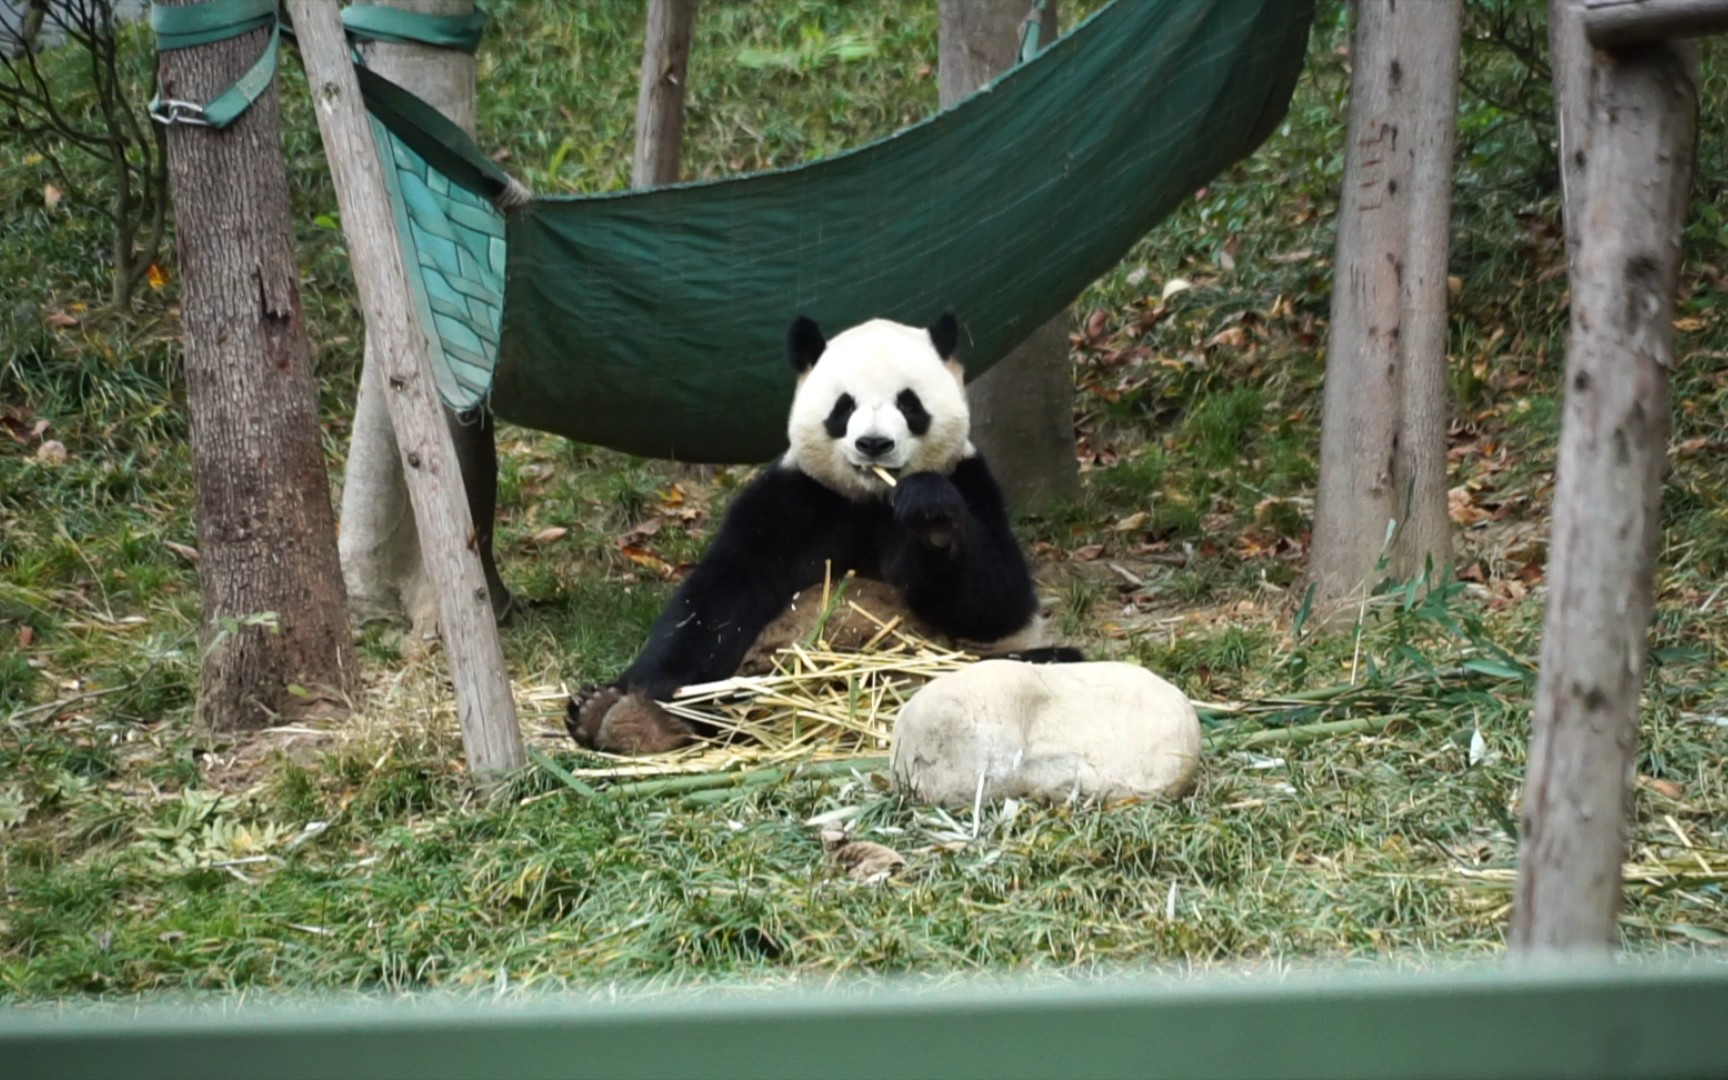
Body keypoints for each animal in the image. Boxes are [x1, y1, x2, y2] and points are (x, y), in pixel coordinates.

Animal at [566, 307, 1078, 753]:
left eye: (909, 403)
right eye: (844, 407)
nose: (874, 444)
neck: (872, 500)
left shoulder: (971, 483)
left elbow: (998, 600)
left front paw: (931, 519)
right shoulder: (792, 502)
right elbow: (715, 602)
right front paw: (639, 689)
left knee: (1048, 661)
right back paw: (615, 714)